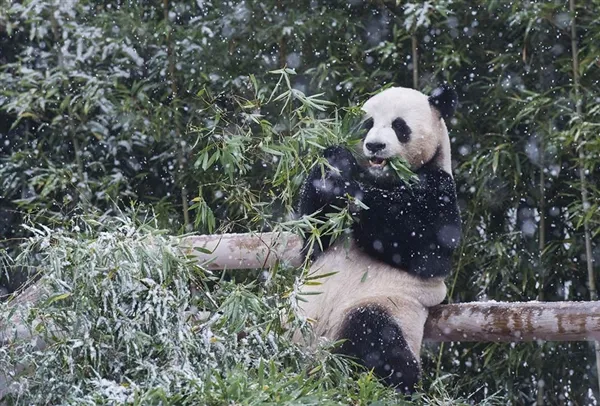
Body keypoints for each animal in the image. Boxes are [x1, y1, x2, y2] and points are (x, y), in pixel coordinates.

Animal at [298, 85, 462, 394]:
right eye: (368, 124)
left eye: (399, 126)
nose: (375, 146)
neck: (384, 179)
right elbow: (312, 236)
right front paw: (335, 163)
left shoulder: (439, 188)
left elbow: (425, 246)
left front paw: (349, 190)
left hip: (387, 308)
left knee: (374, 334)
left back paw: (401, 382)